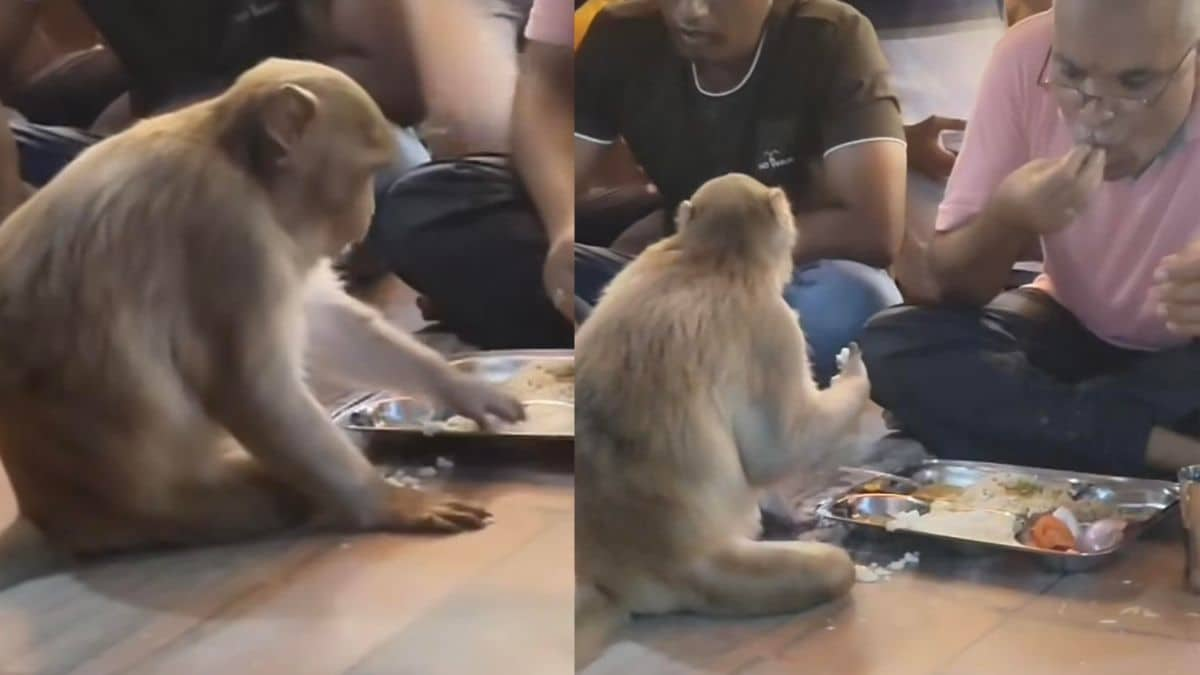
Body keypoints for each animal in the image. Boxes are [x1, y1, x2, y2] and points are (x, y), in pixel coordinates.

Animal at [0, 60, 530, 590]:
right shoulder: (231, 234)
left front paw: (462, 387)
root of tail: (47, 516)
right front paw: (389, 502)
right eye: (366, 174)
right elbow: (253, 389)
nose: (367, 215)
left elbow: (323, 322)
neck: (236, 162)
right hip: (175, 510)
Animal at [573, 170, 873, 662]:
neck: (707, 256)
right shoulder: (773, 326)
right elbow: (777, 450)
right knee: (835, 569)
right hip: (704, 574)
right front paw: (856, 375)